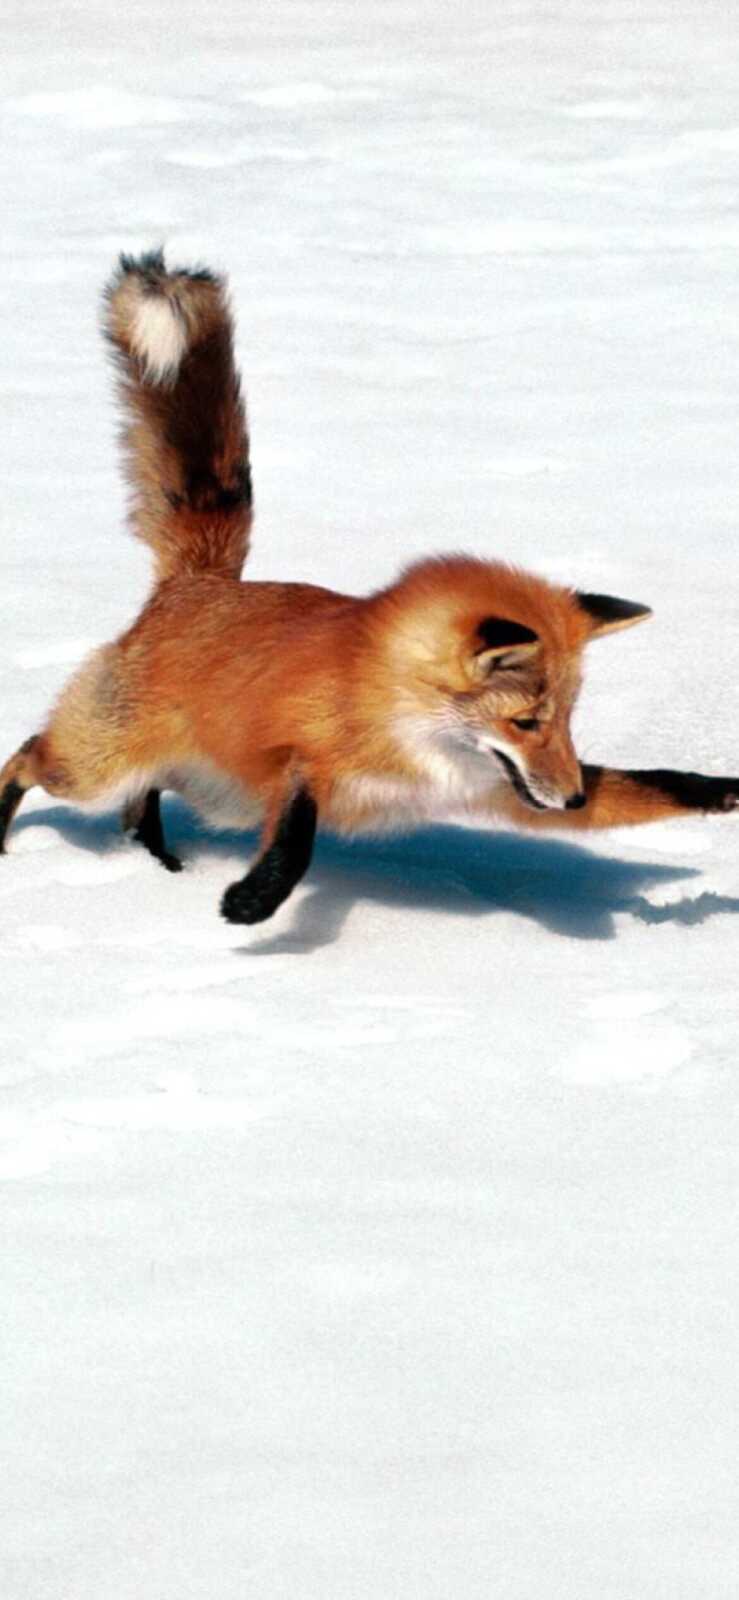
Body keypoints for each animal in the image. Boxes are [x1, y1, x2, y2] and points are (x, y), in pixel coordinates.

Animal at [1, 249, 737, 926]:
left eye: (565, 722)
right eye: (525, 721)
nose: (575, 796)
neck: (403, 722)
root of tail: (198, 583)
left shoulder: (501, 789)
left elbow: (656, 786)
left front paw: (721, 790)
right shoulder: (297, 760)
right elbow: (297, 837)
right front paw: (255, 899)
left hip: (178, 780)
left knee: (134, 802)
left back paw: (156, 862)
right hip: (94, 767)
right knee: (26, 756)